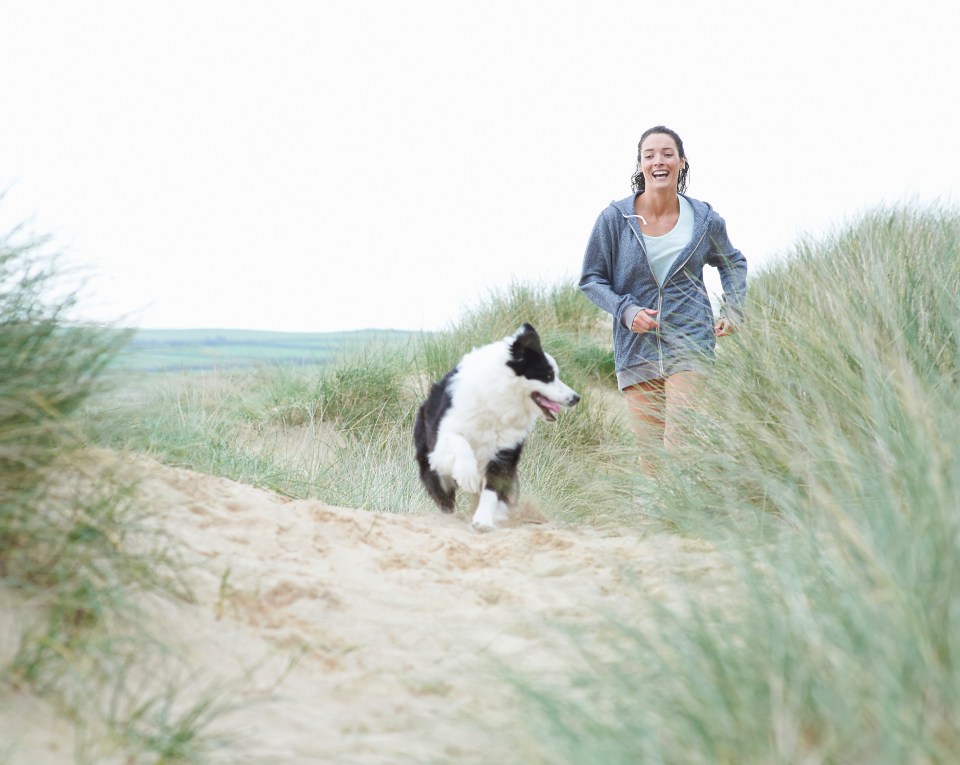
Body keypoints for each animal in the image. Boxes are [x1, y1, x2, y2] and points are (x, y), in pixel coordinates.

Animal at [410, 324, 576, 532]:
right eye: (548, 376)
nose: (576, 398)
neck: (499, 402)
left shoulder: (505, 452)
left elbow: (492, 489)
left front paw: (483, 521)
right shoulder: (442, 438)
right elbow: (460, 442)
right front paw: (468, 477)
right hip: (431, 463)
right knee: (444, 498)